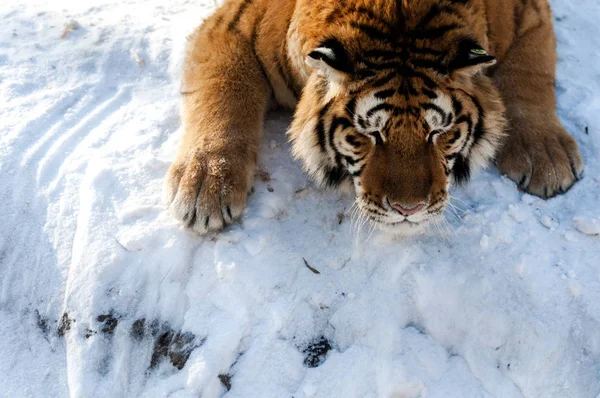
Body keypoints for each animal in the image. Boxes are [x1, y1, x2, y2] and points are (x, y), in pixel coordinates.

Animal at [162, 0, 584, 235]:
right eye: (368, 135)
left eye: (440, 132)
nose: (409, 210)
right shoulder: (234, 25)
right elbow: (224, 94)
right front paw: (206, 186)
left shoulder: (526, 13)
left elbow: (529, 74)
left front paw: (547, 156)